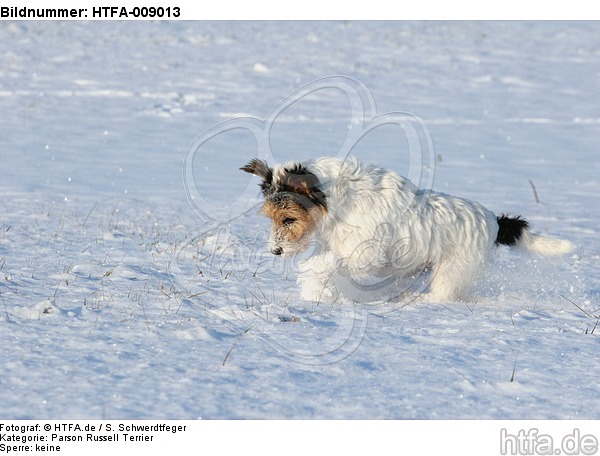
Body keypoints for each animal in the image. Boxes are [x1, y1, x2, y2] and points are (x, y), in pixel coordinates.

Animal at [241, 157, 576, 302]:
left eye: (288, 219)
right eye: (271, 218)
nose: (275, 251)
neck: (339, 200)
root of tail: (494, 221)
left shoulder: (363, 253)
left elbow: (324, 264)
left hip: (451, 272)